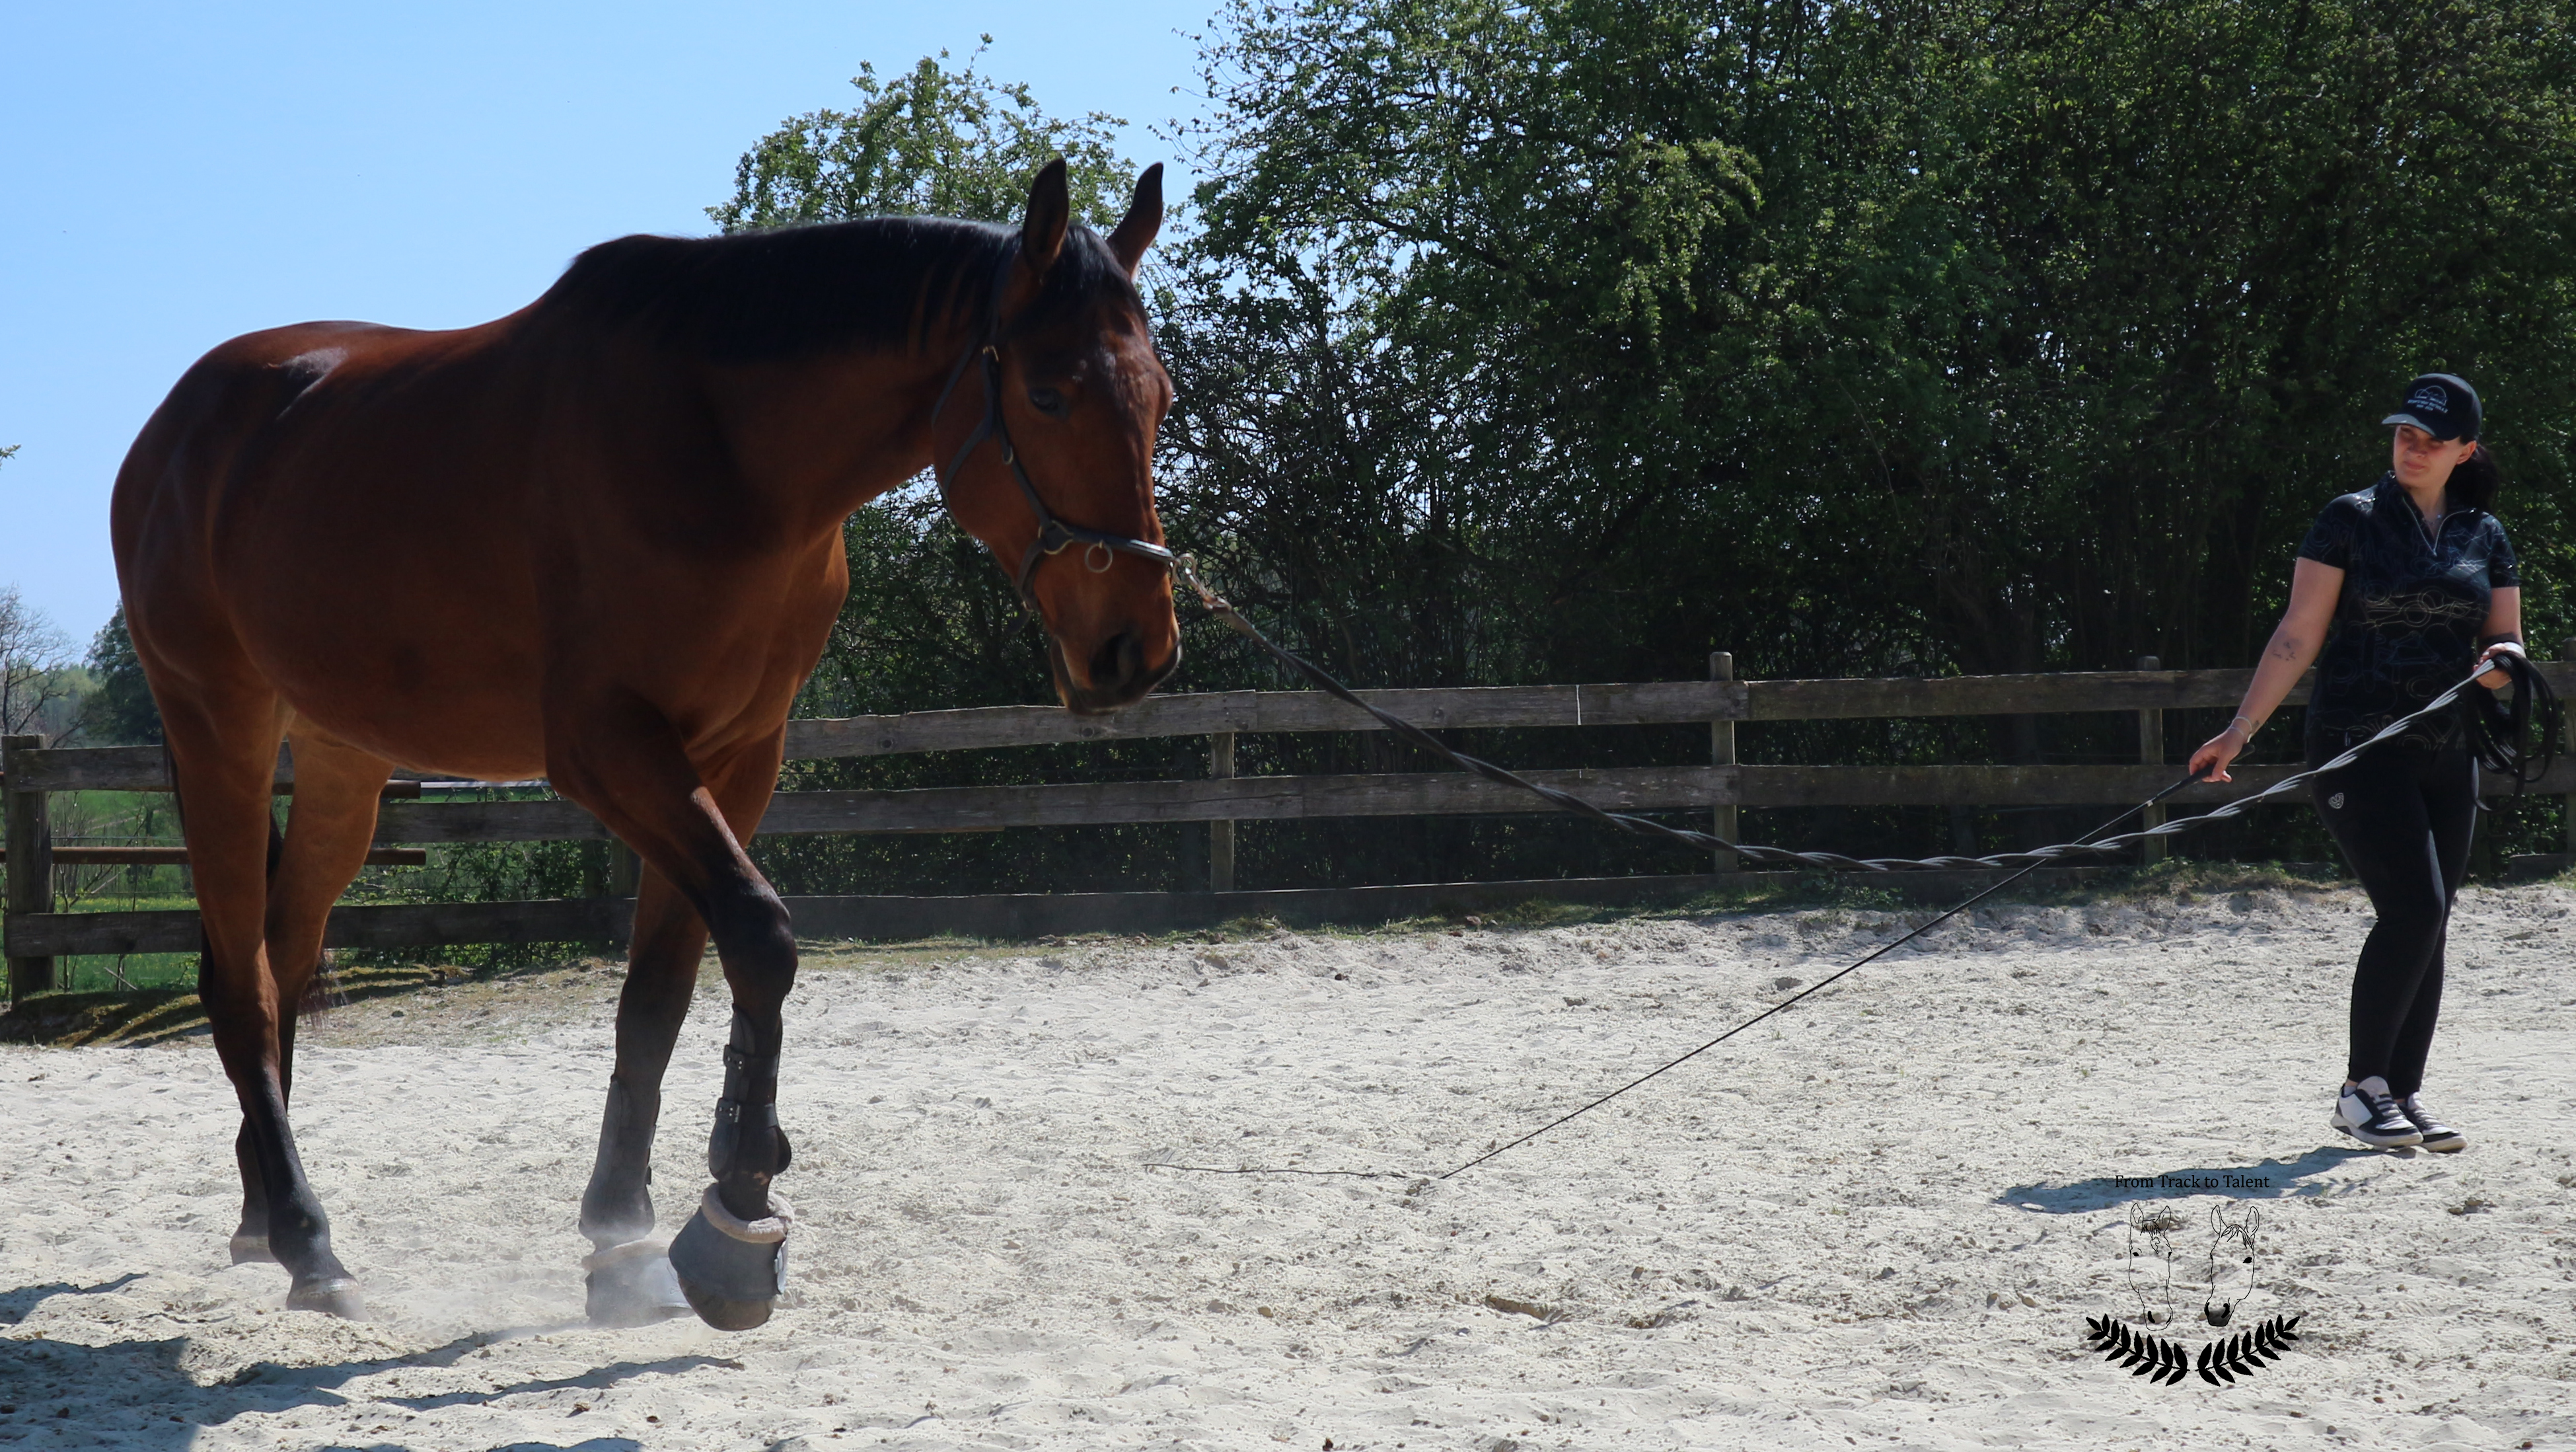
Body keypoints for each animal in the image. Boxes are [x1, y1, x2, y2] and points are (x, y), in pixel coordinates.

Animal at [109, 161, 1178, 1329]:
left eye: (1158, 396)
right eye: (1047, 395)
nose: (1136, 647)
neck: (721, 451)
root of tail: (175, 429)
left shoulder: (734, 757)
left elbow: (659, 991)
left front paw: (621, 1233)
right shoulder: (609, 747)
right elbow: (759, 934)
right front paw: (737, 1213)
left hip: (346, 762)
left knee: (281, 959)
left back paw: (263, 1215)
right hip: (219, 731)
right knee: (241, 987)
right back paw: (309, 1241)